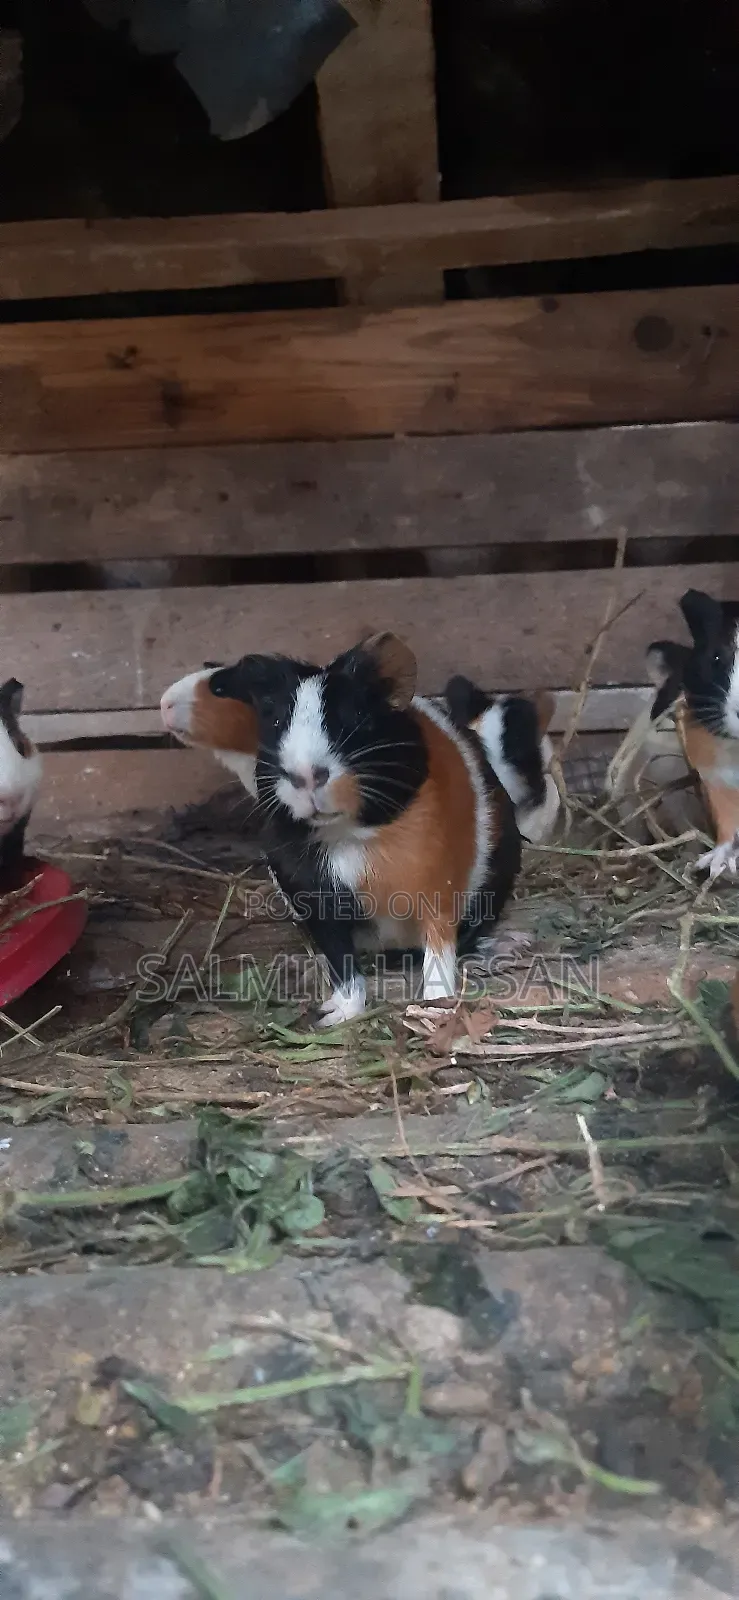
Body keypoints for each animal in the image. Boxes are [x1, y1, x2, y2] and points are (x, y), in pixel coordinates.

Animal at [205, 633, 520, 1026]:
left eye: (356, 716)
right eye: (276, 721)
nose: (305, 775)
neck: (349, 837)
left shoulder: (438, 889)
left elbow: (438, 953)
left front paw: (435, 1005)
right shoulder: (318, 906)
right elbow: (344, 968)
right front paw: (332, 1017)